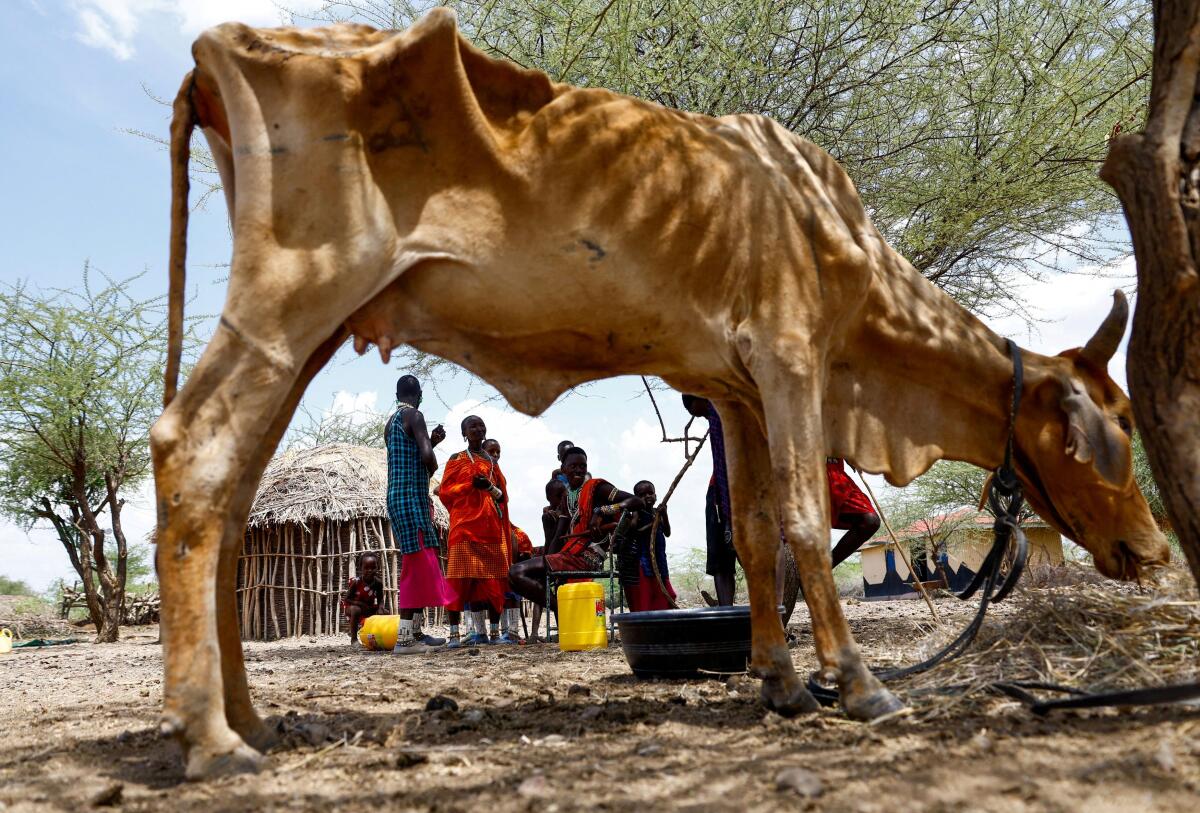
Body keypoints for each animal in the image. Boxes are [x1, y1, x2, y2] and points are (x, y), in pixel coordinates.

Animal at [153, 9, 1169, 778]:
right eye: (1112, 428)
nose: (1156, 547)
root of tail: (218, 47)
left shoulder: (738, 392)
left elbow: (755, 537)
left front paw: (782, 682)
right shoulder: (790, 359)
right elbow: (804, 521)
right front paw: (858, 684)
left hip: (309, 333)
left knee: (234, 500)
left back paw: (249, 716)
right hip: (288, 308)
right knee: (189, 452)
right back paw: (211, 736)